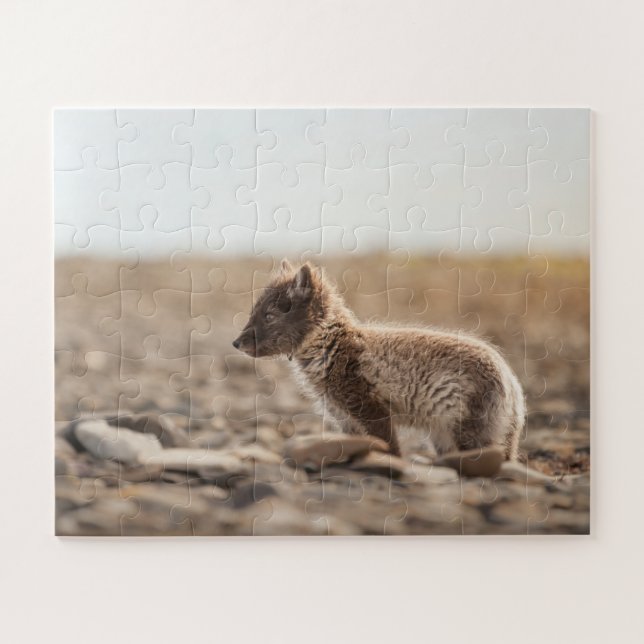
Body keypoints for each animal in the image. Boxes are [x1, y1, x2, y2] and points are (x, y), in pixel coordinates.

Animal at [232, 260, 525, 459]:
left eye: (269, 315)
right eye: (253, 311)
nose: (236, 343)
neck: (331, 346)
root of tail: (512, 383)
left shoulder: (372, 411)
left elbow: (390, 448)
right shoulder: (345, 420)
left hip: (471, 435)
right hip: (447, 439)